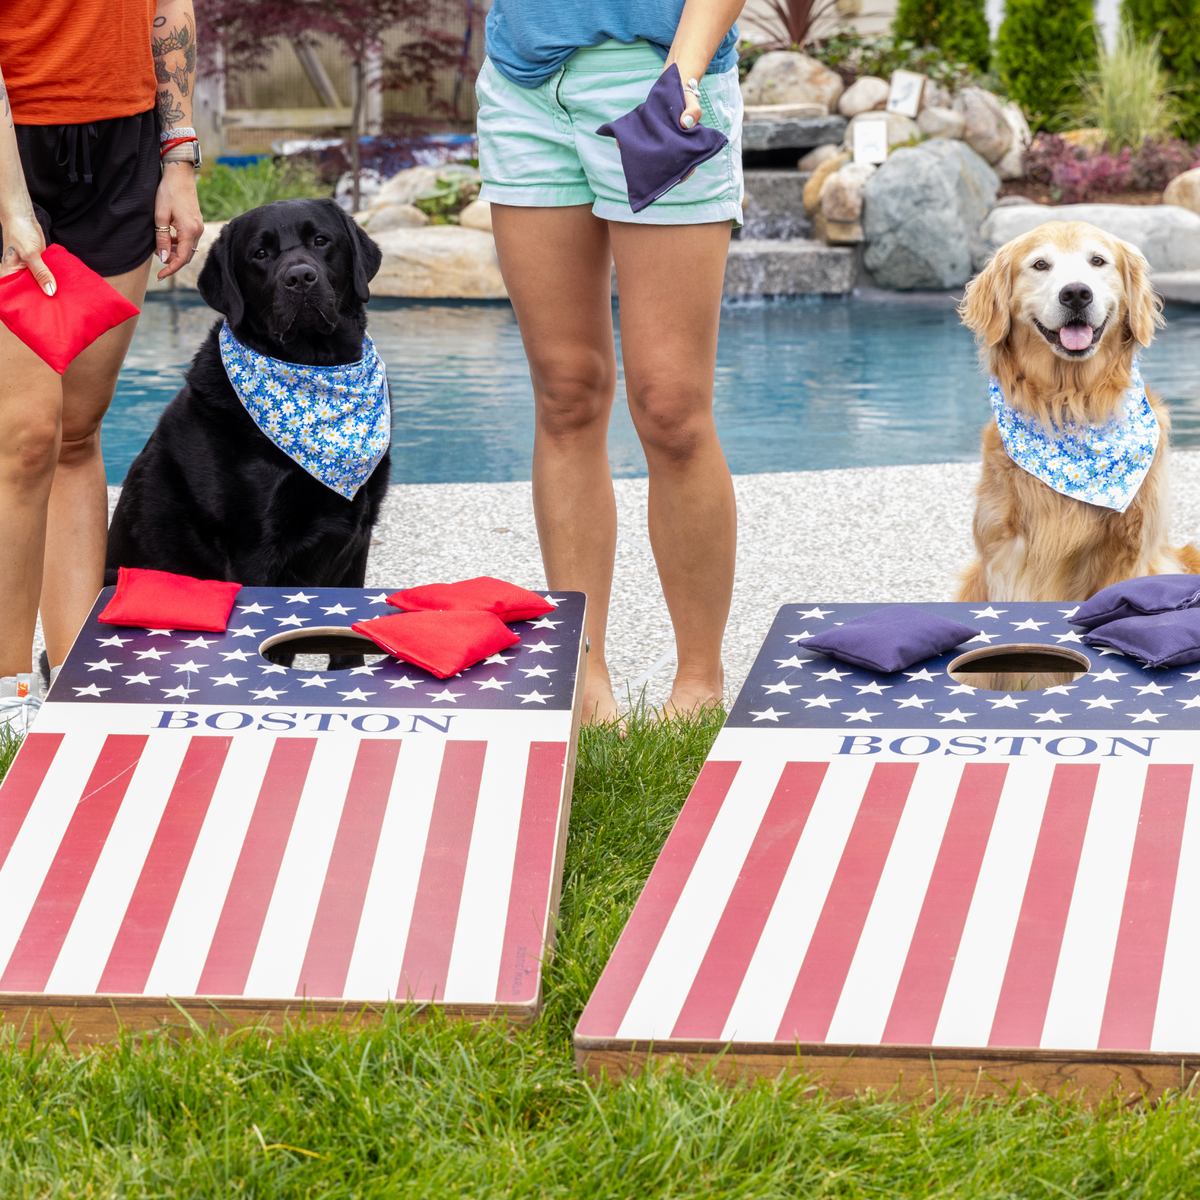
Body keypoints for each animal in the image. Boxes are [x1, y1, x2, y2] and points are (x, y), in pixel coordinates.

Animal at [105, 199, 388, 597]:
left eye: (321, 240)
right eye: (260, 254)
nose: (300, 278)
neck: (315, 365)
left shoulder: (359, 534)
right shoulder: (254, 547)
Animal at [955, 217, 1200, 604]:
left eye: (1097, 261)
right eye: (1040, 264)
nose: (1075, 293)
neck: (1071, 404)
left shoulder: (1130, 551)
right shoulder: (1009, 553)